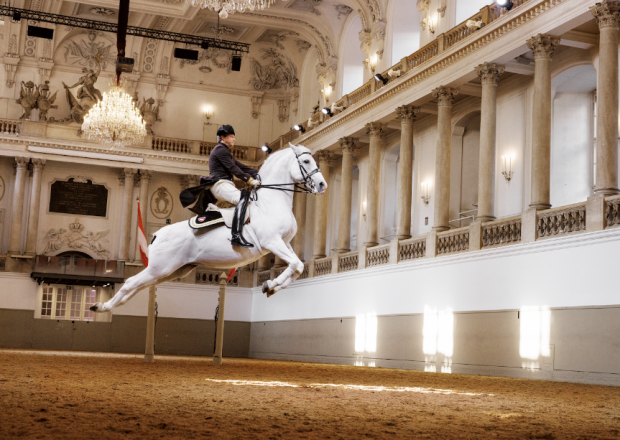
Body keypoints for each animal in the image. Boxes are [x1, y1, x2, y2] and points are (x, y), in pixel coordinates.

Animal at [91, 144, 330, 312]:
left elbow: (297, 266)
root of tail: (158, 234)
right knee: (130, 282)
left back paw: (103, 306)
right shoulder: (272, 242)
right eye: (306, 160)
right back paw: (102, 307)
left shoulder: (284, 244)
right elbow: (295, 265)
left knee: (138, 286)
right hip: (160, 268)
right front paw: (271, 284)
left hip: (171, 271)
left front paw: (270, 286)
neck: (272, 201)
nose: (322, 185)